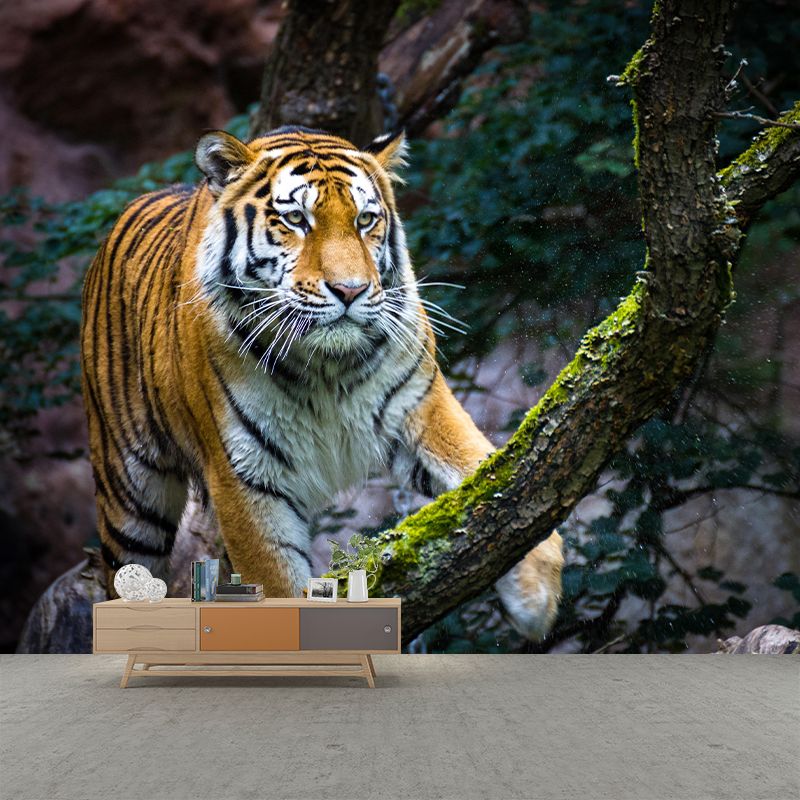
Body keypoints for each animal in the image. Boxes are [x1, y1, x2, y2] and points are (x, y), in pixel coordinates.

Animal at [80, 125, 563, 641]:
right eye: (296, 219)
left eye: (366, 219)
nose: (350, 290)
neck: (327, 368)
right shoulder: (245, 478)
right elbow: (274, 582)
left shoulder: (421, 405)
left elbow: (484, 467)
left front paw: (535, 592)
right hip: (129, 496)